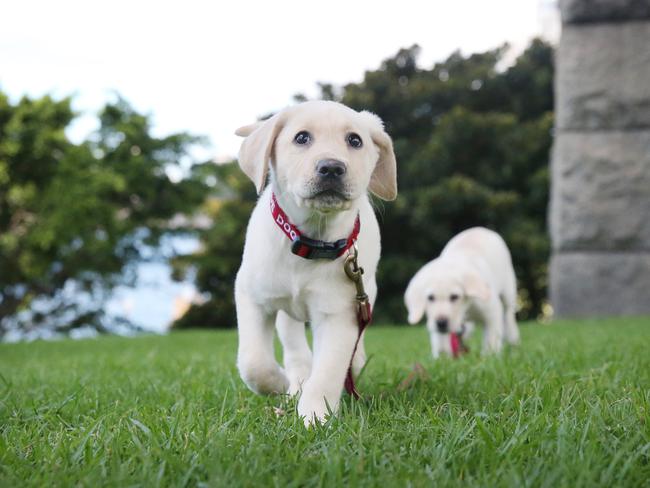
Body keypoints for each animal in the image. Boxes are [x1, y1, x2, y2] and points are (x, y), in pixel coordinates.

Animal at [233, 99, 394, 424]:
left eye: (355, 140)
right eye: (302, 138)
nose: (331, 167)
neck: (308, 241)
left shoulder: (339, 312)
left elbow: (328, 370)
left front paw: (315, 417)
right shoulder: (250, 294)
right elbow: (254, 362)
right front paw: (280, 384)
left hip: (366, 291)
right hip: (287, 311)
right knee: (295, 347)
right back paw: (295, 380)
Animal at [402, 228, 520, 358]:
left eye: (454, 297)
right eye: (430, 297)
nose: (441, 323)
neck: (465, 310)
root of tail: (482, 229)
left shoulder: (492, 311)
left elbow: (491, 338)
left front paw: (489, 355)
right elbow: (441, 342)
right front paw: (442, 357)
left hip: (508, 291)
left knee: (508, 315)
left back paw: (513, 339)